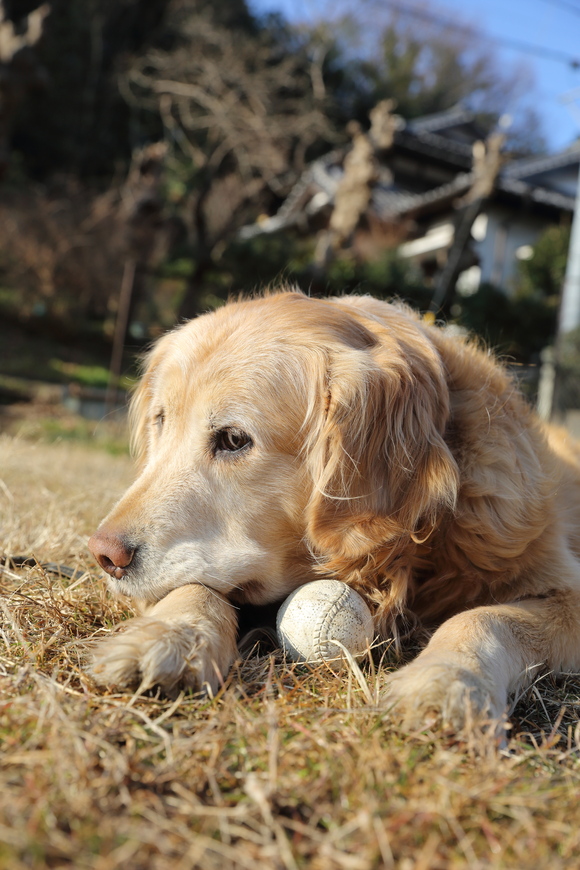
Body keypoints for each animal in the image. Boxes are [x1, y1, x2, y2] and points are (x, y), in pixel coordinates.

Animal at [87, 292, 580, 728]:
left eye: (233, 439)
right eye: (160, 421)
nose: (104, 555)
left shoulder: (563, 588)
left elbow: (485, 617)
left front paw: (446, 682)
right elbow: (196, 587)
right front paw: (169, 636)